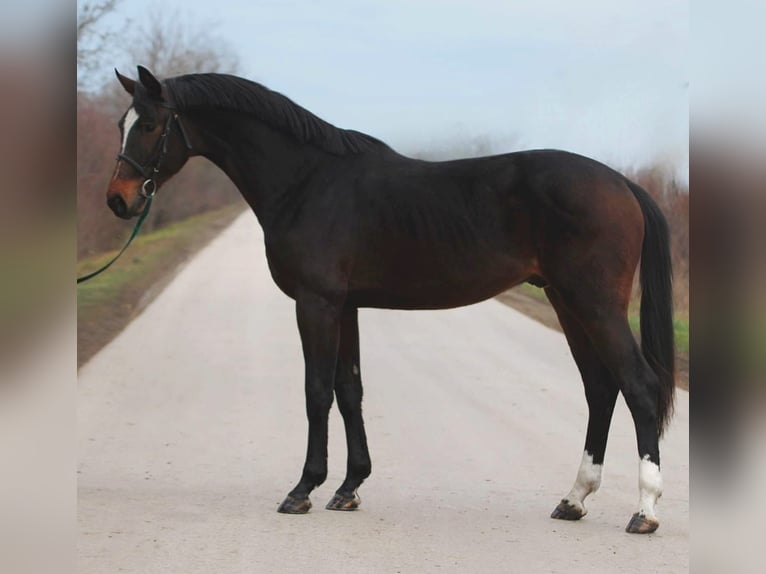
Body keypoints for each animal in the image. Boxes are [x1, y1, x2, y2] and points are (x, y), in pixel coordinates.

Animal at [106, 66, 672, 536]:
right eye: (121, 123)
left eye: (151, 125)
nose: (118, 199)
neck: (308, 181)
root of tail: (622, 183)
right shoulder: (345, 306)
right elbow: (349, 390)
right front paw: (348, 488)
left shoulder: (316, 303)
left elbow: (317, 392)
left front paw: (302, 490)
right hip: (566, 301)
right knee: (600, 389)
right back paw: (574, 499)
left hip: (594, 303)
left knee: (639, 387)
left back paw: (644, 511)